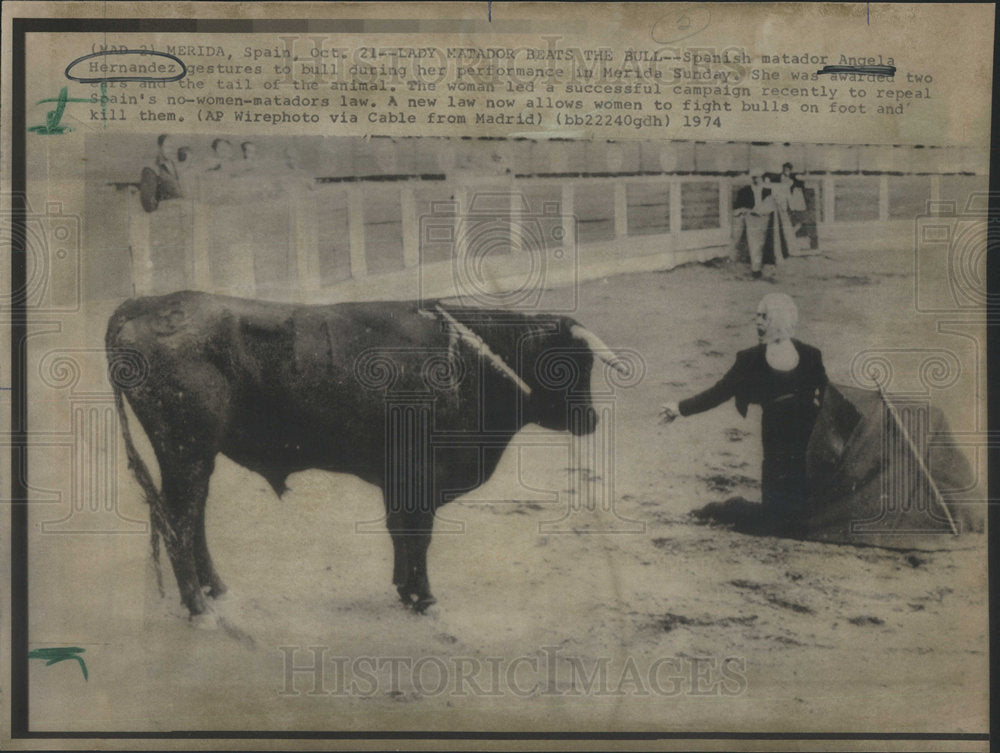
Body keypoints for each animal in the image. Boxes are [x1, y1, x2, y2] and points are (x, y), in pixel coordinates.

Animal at [107, 290, 624, 620]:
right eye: (569, 364)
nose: (591, 421)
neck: (466, 361)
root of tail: (142, 305)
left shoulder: (401, 480)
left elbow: (403, 535)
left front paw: (405, 591)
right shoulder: (420, 477)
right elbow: (418, 536)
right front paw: (425, 599)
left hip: (193, 456)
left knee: (191, 516)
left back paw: (217, 592)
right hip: (186, 450)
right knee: (179, 520)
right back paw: (199, 608)